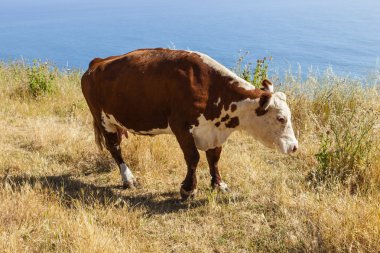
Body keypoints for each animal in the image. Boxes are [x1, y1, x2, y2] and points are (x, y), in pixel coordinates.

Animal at [81, 48, 298, 201]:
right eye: (281, 118)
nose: (294, 147)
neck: (212, 90)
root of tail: (97, 62)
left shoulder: (214, 131)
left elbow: (214, 158)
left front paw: (219, 184)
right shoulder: (180, 125)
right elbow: (193, 157)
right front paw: (188, 189)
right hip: (102, 118)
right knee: (115, 148)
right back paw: (128, 178)